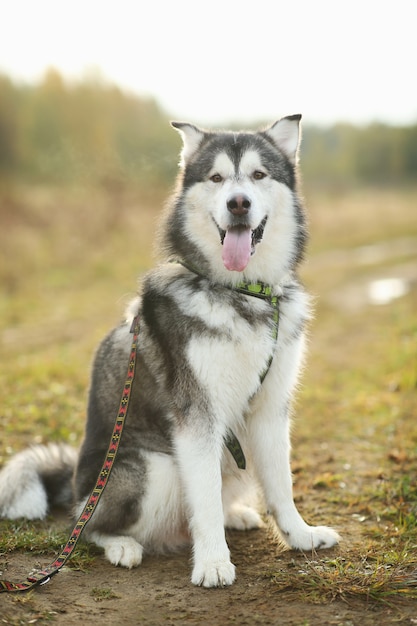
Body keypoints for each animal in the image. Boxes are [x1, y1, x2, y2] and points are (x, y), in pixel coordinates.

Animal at [0, 116, 338, 584]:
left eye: (258, 175)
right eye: (216, 178)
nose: (238, 204)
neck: (241, 293)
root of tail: (76, 484)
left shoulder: (271, 408)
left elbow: (281, 486)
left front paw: (300, 536)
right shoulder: (197, 416)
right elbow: (205, 500)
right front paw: (213, 562)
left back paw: (235, 515)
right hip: (152, 469)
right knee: (86, 526)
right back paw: (121, 545)